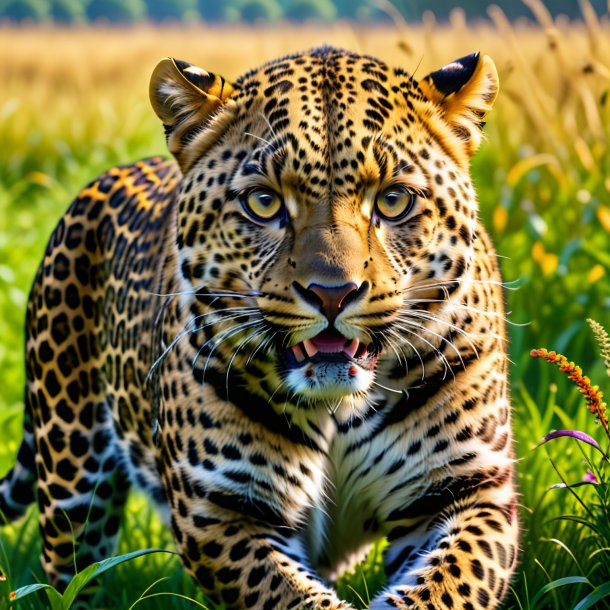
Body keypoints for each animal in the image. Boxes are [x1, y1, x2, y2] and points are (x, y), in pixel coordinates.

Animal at [1, 44, 516, 608]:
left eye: (393, 200)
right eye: (264, 202)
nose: (332, 293)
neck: (338, 407)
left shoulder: (465, 490)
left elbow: (447, 587)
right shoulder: (222, 510)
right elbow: (288, 595)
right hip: (71, 476)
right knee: (72, 571)